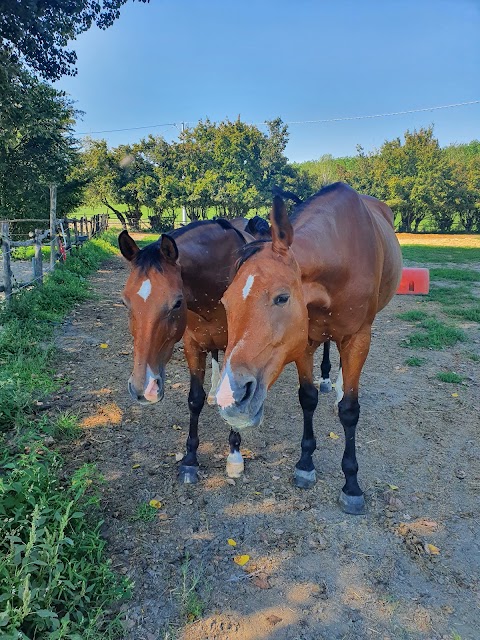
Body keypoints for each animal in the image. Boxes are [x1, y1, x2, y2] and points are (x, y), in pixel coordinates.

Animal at [117, 218, 270, 482]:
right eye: (126, 302)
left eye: (177, 302)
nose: (143, 388)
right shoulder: (193, 347)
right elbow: (194, 399)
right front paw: (189, 459)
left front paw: (234, 457)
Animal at [216, 182, 404, 512]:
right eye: (226, 302)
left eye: (282, 297)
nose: (231, 398)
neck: (340, 257)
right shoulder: (303, 341)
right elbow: (307, 398)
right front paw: (305, 464)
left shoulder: (358, 338)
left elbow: (350, 410)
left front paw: (351, 485)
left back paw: (337, 385)